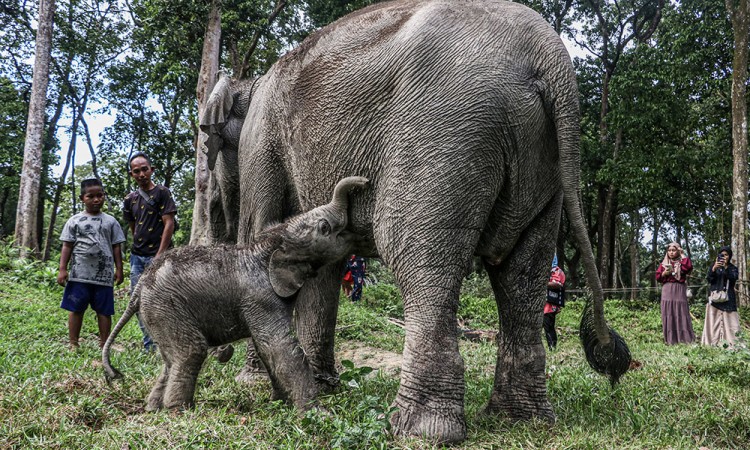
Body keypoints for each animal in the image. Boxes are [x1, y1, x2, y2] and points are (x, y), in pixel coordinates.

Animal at [101, 176, 372, 412]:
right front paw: (317, 413)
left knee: (170, 360)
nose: (365, 181)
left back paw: (154, 408)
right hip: (166, 308)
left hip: (157, 313)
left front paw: (280, 403)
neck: (269, 244)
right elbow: (280, 345)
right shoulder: (259, 296)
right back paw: (179, 411)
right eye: (324, 227)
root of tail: (138, 289)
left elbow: (266, 348)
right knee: (190, 352)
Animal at [201, 0, 636, 442]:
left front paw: (254, 383)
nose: (219, 353)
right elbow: (323, 262)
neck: (250, 83)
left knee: (417, 256)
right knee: (522, 273)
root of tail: (549, 57)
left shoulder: (261, 141)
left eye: (207, 143)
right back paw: (519, 419)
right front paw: (321, 385)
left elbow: (261, 231)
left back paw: (419, 430)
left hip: (444, 135)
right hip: (543, 164)